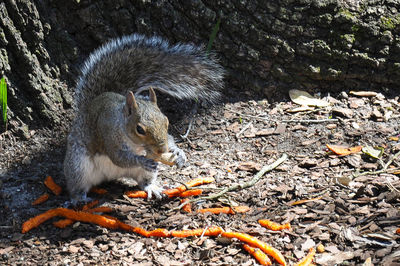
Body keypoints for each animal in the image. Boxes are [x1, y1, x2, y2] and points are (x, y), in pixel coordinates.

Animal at [64, 33, 223, 204]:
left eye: (166, 121)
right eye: (139, 129)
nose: (162, 150)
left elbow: (170, 138)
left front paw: (178, 151)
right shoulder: (109, 137)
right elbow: (120, 158)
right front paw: (142, 160)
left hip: (145, 173)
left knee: (144, 182)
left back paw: (152, 188)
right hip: (78, 166)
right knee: (77, 185)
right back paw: (78, 198)